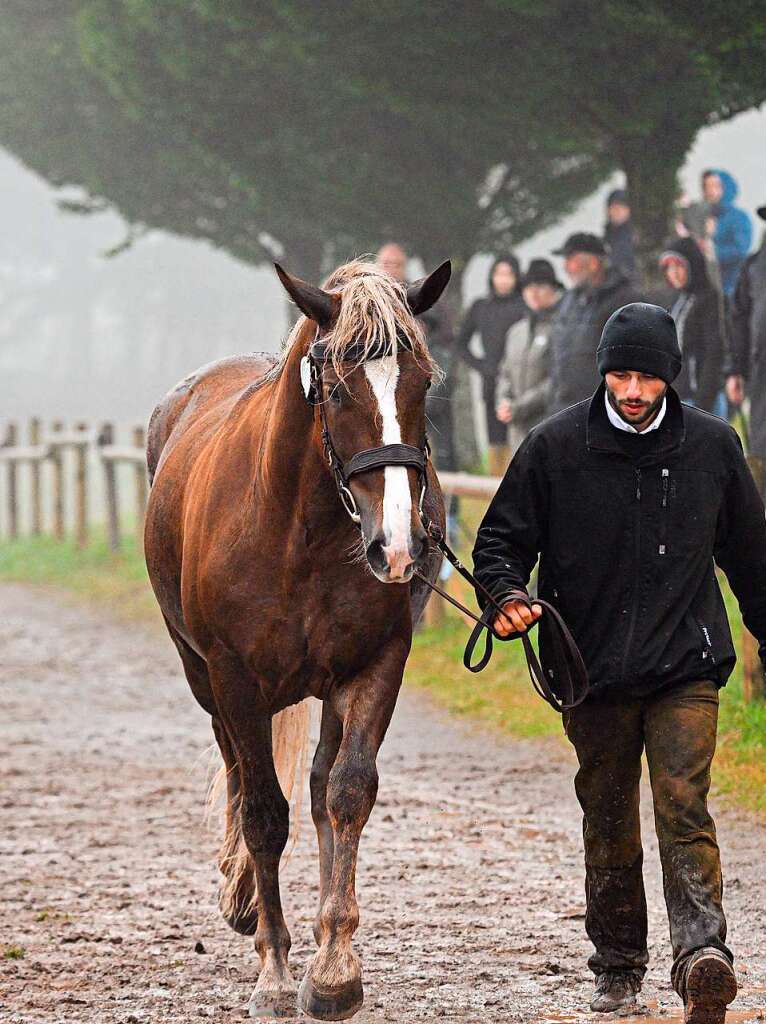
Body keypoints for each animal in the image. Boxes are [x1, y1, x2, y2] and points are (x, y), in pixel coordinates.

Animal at [145, 260, 448, 1019]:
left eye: (422, 382)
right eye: (338, 389)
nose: (399, 546)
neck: (297, 530)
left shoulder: (375, 666)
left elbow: (345, 793)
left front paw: (335, 967)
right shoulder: (235, 680)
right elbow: (263, 814)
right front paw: (276, 970)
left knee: (316, 787)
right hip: (203, 676)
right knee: (236, 769)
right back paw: (243, 897)